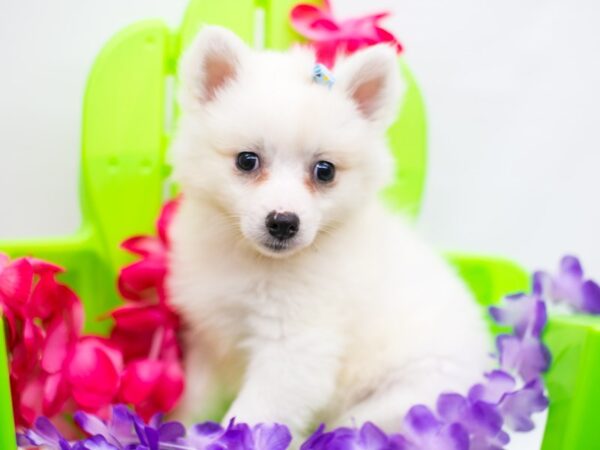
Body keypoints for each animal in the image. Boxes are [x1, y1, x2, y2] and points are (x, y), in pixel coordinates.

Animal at [166, 26, 490, 438]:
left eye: (325, 171)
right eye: (247, 160)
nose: (284, 222)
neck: (252, 262)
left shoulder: (295, 350)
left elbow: (252, 416)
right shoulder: (208, 339)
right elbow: (193, 401)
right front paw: (169, 429)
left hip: (400, 400)